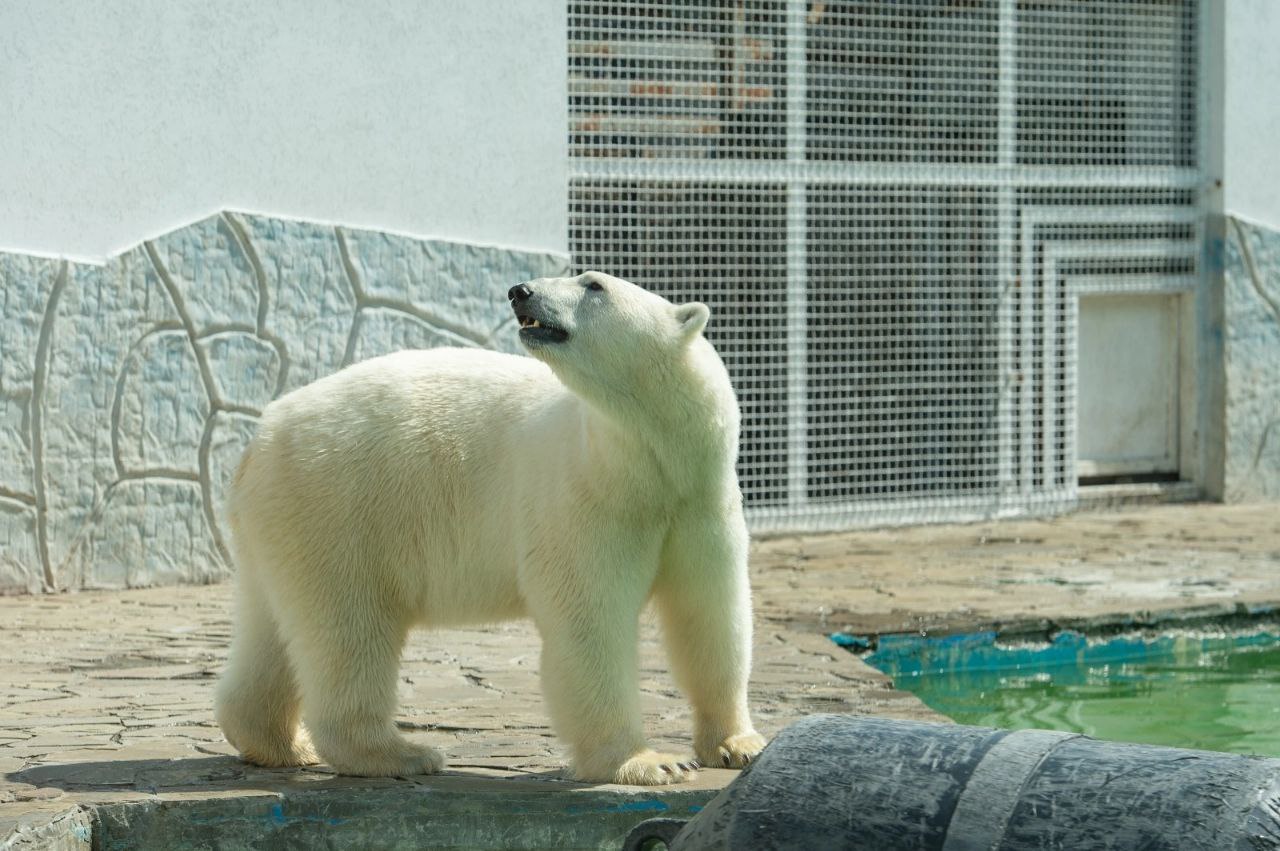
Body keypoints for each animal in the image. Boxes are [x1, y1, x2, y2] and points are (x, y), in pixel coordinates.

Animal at [215, 270, 762, 783]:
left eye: (594, 284)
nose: (520, 291)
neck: (652, 463)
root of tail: (260, 436)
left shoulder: (700, 506)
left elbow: (709, 615)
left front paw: (736, 745)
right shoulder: (588, 499)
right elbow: (592, 621)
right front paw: (650, 762)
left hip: (281, 521)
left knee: (273, 628)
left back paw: (282, 743)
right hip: (340, 506)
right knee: (349, 628)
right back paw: (400, 753)